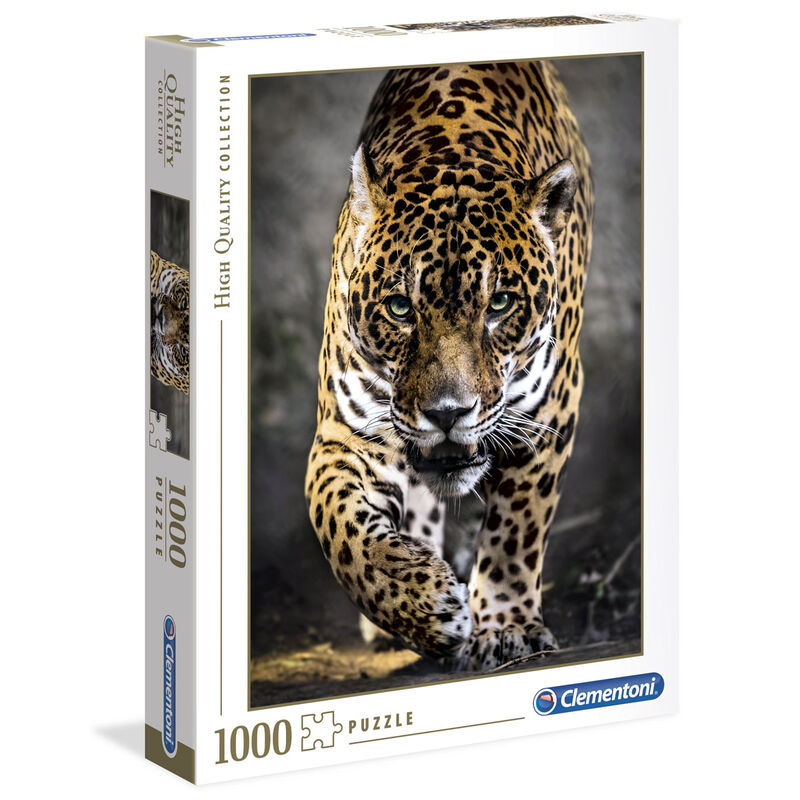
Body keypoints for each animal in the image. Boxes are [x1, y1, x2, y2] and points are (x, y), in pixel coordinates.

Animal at [305, 61, 593, 671]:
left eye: (500, 304)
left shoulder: (549, 410)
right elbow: (339, 526)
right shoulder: (347, 431)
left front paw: (505, 627)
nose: (447, 413)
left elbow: (516, 528)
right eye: (399, 308)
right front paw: (422, 604)